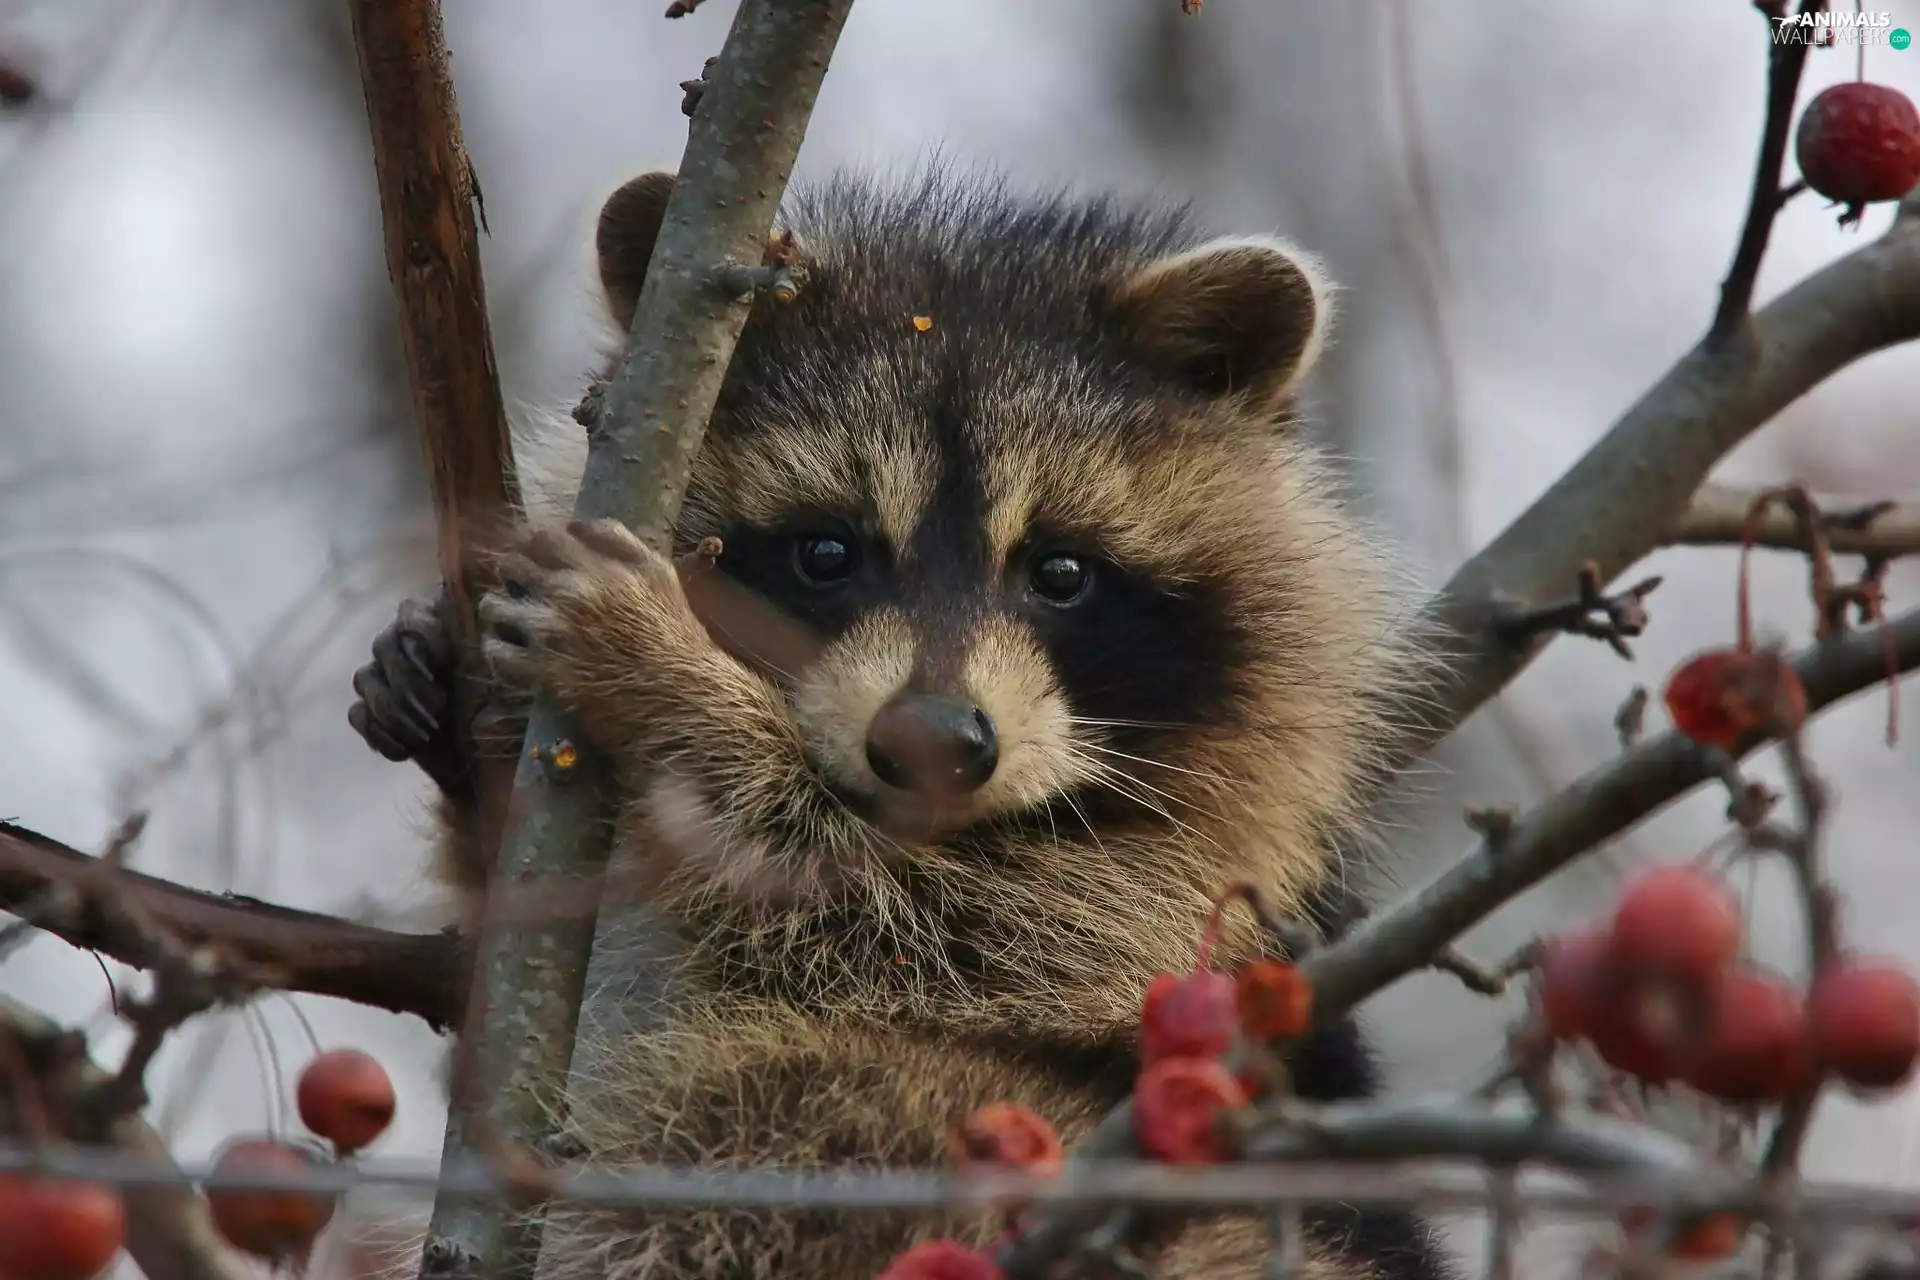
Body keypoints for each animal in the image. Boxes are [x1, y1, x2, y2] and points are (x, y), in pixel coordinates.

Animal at [349, 166, 1451, 1280]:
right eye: (826, 553)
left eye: (1061, 571)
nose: (936, 744)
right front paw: (451, 727)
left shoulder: (1162, 899)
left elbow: (892, 917)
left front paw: (671, 680)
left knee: (765, 1103)